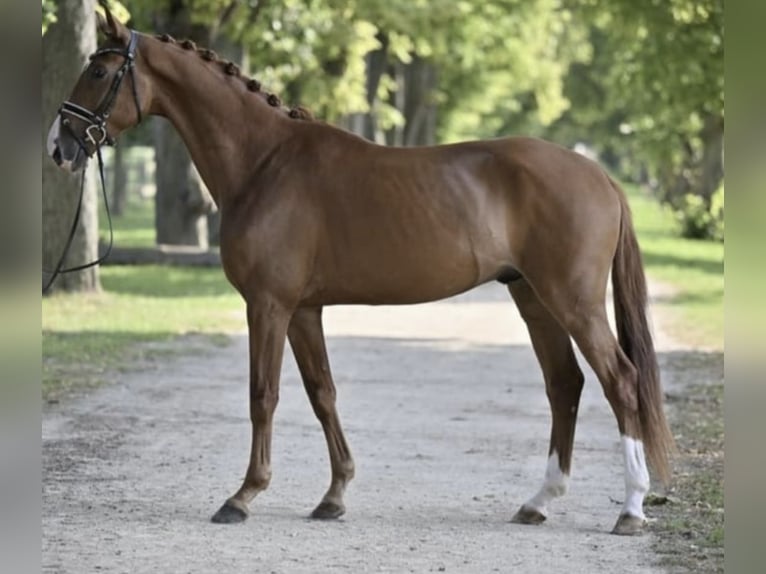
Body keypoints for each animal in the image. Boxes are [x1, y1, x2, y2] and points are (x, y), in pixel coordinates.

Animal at [46, 5, 672, 536]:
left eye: (99, 71)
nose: (59, 146)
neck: (265, 163)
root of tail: (598, 175)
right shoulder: (303, 309)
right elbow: (322, 392)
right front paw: (334, 495)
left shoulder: (268, 305)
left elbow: (263, 394)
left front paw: (243, 496)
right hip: (533, 298)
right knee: (565, 384)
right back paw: (539, 501)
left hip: (573, 300)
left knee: (620, 381)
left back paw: (631, 508)